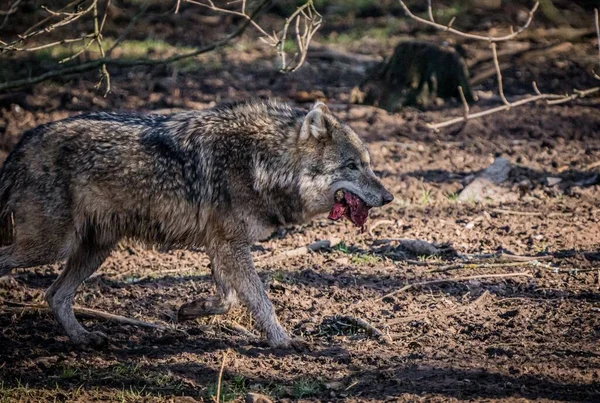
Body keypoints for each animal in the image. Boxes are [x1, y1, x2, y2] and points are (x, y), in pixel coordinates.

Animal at [0, 99, 394, 348]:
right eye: (352, 166)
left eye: (368, 164)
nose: (389, 197)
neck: (263, 163)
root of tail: (23, 142)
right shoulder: (230, 245)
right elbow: (260, 299)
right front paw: (283, 340)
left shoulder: (221, 245)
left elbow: (230, 299)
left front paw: (191, 310)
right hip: (52, 246)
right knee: (28, 275)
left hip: (94, 250)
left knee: (55, 295)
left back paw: (83, 338)